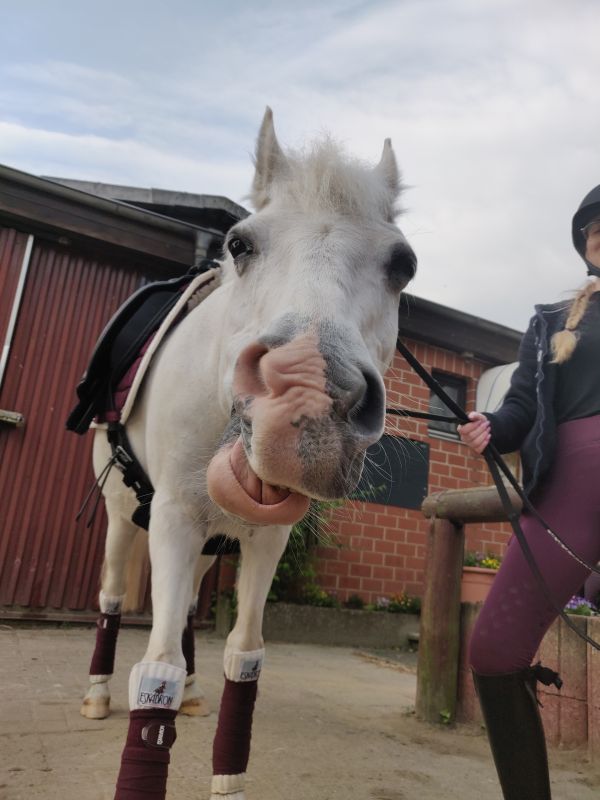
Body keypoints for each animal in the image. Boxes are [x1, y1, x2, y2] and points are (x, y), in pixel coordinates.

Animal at [83, 107, 416, 800]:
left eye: (404, 264)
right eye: (239, 244)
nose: (305, 402)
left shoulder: (266, 538)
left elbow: (244, 655)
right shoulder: (174, 518)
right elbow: (154, 666)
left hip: (212, 540)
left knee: (184, 609)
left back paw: (190, 691)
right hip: (123, 515)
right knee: (111, 599)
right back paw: (97, 692)